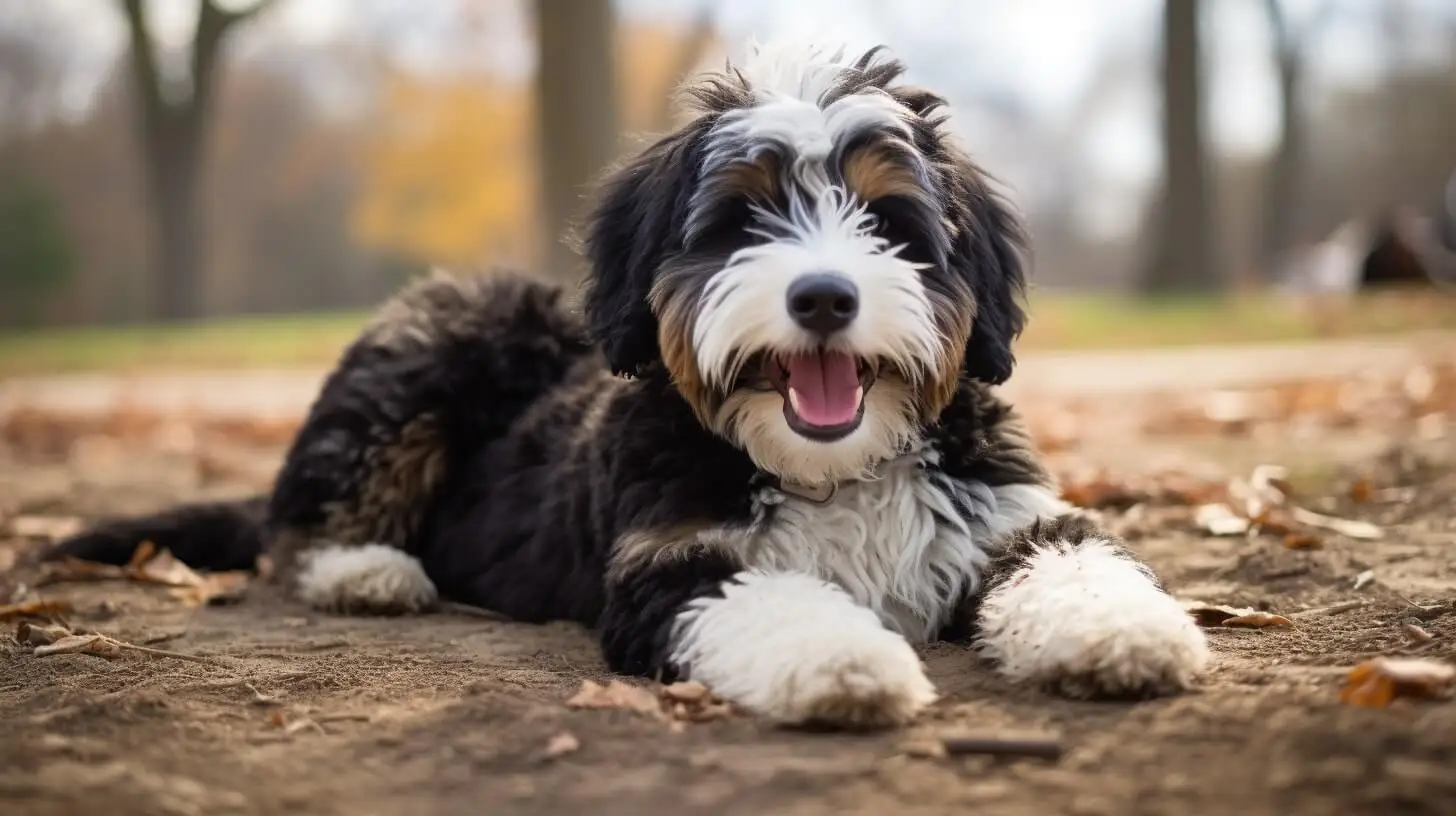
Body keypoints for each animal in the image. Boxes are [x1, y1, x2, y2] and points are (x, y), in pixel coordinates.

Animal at [48, 42, 1205, 725]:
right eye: (743, 223)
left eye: (890, 224)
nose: (825, 296)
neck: (832, 470)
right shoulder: (667, 565)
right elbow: (769, 599)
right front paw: (846, 664)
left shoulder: (1004, 514)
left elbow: (1073, 558)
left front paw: (1123, 632)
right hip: (435, 342)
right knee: (300, 527)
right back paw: (370, 571)